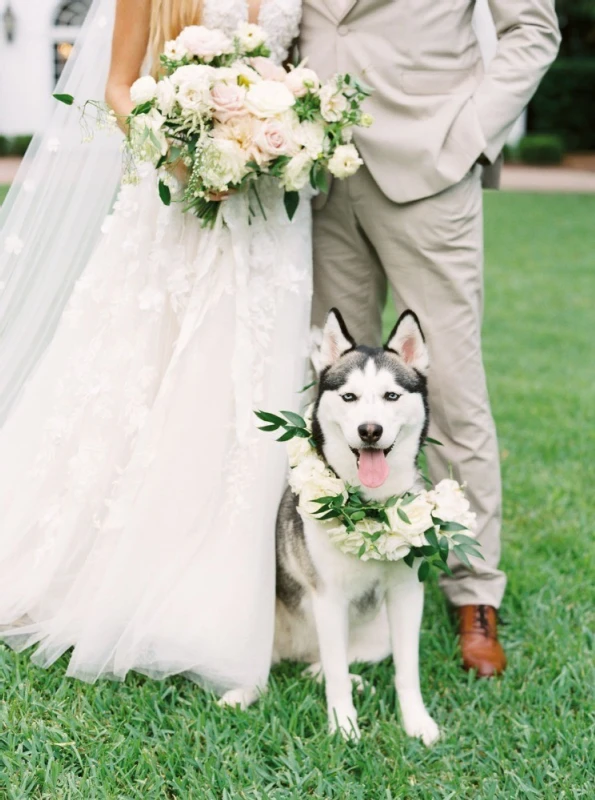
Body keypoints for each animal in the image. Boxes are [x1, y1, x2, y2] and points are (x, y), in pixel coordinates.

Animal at [221, 310, 440, 748]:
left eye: (391, 396)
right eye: (349, 397)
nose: (370, 430)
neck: (371, 508)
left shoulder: (408, 596)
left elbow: (406, 671)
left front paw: (416, 721)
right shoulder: (328, 597)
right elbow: (336, 673)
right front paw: (343, 725)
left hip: (377, 634)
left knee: (327, 661)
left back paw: (330, 675)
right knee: (265, 668)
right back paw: (242, 692)